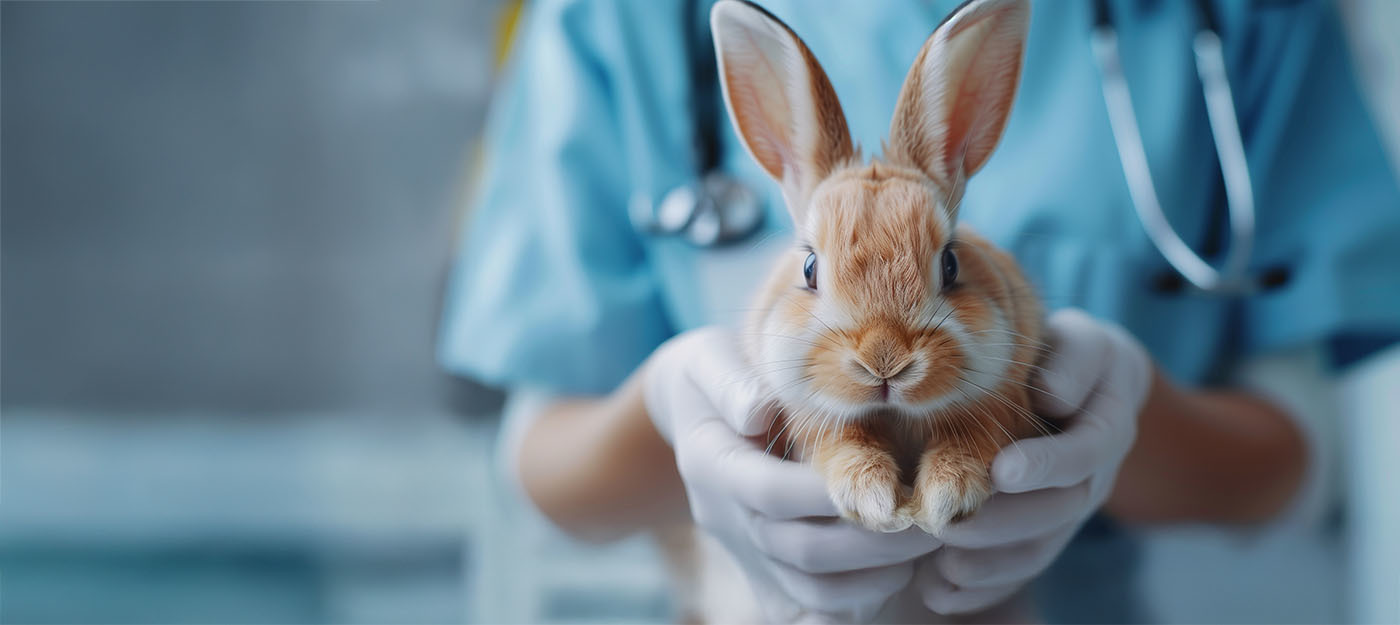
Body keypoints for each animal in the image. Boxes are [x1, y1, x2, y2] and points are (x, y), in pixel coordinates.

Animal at [712, 0, 1045, 536]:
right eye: (809, 268)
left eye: (950, 263)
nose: (884, 359)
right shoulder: (812, 421)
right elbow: (842, 445)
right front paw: (877, 501)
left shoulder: (1000, 400)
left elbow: (970, 439)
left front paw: (944, 499)